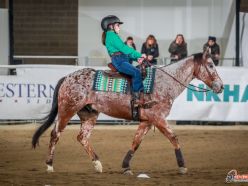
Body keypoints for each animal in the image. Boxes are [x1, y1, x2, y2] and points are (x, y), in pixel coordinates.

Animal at [31, 52, 223, 174]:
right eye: (211, 65)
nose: (220, 86)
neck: (165, 82)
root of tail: (68, 78)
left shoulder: (147, 121)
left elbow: (136, 142)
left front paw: (126, 166)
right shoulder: (158, 118)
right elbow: (173, 137)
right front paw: (182, 165)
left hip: (89, 114)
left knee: (82, 137)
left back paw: (98, 164)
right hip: (67, 110)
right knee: (55, 134)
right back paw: (49, 165)